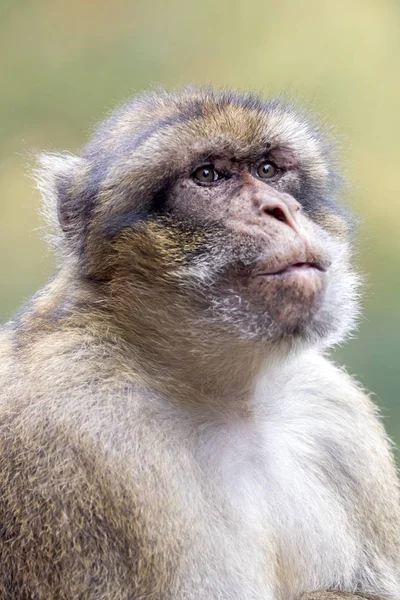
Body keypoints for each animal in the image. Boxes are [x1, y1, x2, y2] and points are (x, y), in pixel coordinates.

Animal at [0, 88, 398, 600]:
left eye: (268, 169)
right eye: (208, 175)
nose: (280, 209)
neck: (226, 395)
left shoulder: (336, 416)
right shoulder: (65, 433)